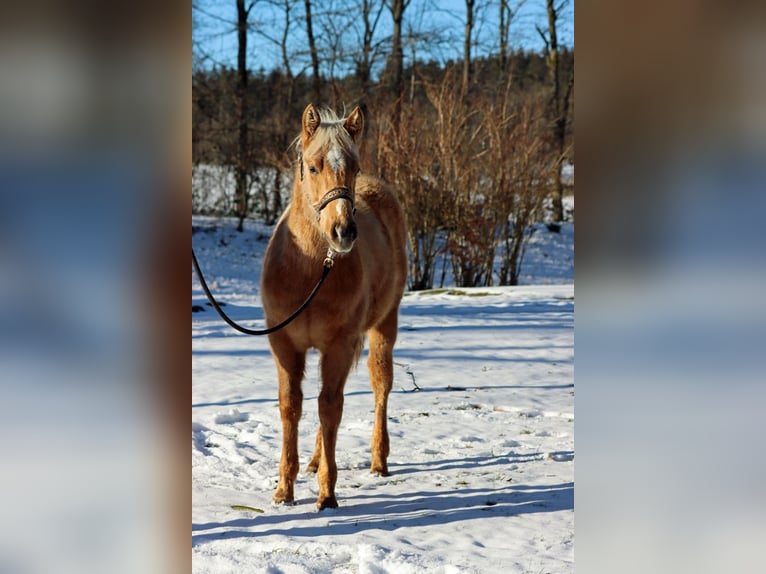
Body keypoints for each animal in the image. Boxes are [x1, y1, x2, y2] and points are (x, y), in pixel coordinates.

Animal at [262, 104, 412, 512]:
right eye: (314, 167)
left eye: (354, 167)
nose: (343, 232)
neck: (311, 269)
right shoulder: (284, 346)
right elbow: (291, 406)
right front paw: (284, 489)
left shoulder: (340, 345)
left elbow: (330, 407)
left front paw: (327, 494)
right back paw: (314, 461)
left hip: (384, 326)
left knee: (380, 385)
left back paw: (378, 460)